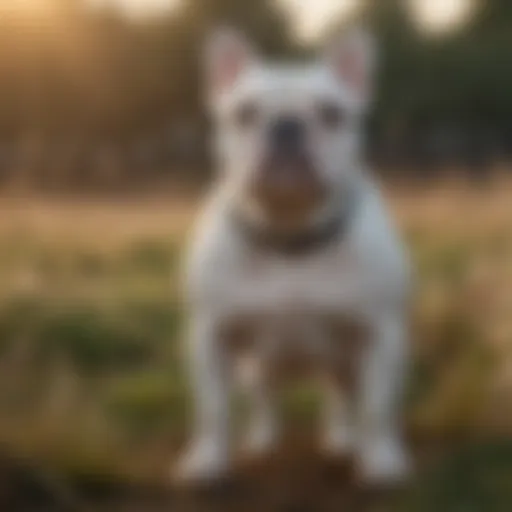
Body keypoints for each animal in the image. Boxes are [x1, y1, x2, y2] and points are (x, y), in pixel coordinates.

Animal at [176, 26, 412, 486]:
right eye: (244, 113)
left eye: (333, 113)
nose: (287, 125)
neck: (289, 236)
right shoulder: (211, 336)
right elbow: (213, 409)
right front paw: (208, 461)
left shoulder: (380, 335)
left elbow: (375, 409)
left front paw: (380, 462)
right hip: (253, 367)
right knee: (265, 397)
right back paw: (264, 441)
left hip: (345, 364)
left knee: (342, 400)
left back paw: (343, 441)